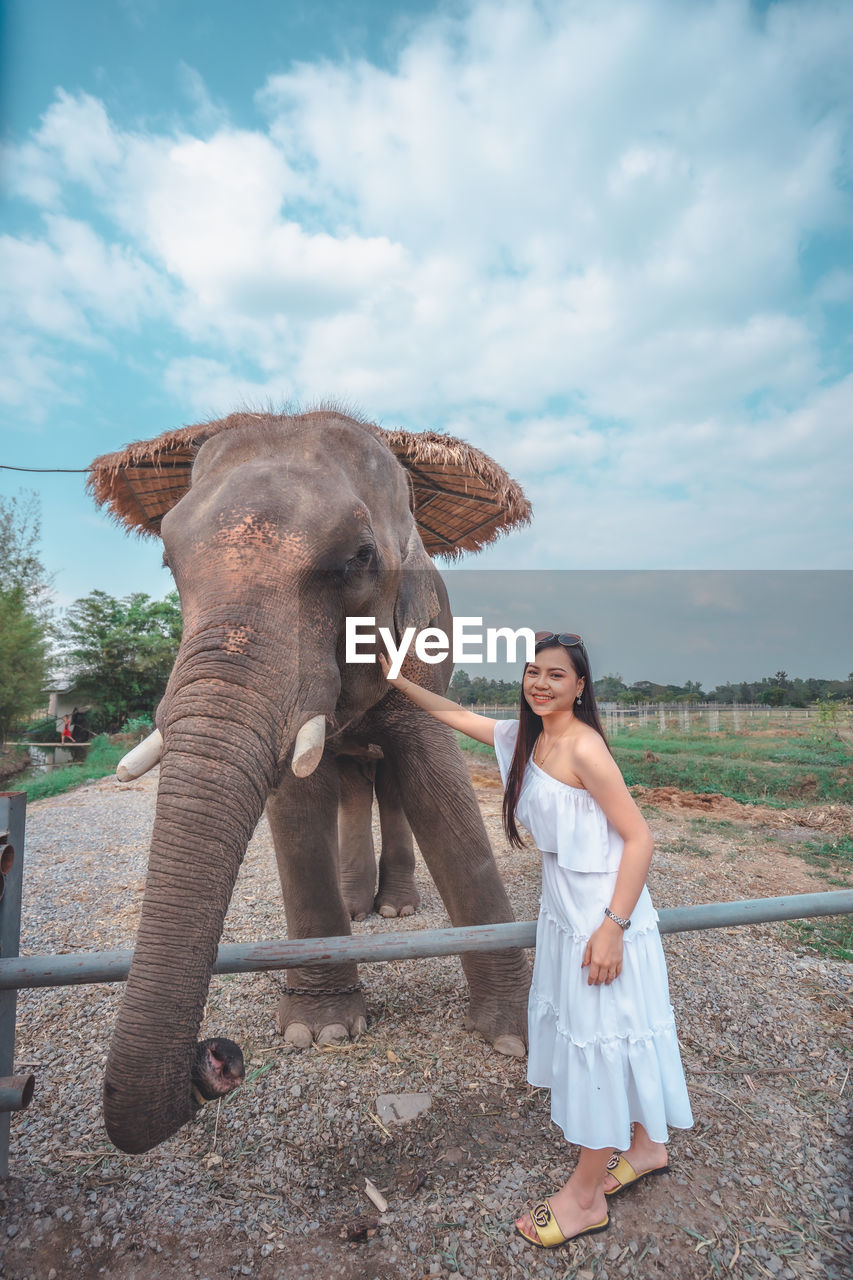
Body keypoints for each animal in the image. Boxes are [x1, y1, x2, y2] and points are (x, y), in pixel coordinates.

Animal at [92, 412, 532, 1162]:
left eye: (360, 557)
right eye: (168, 564)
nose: (218, 1060)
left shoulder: (419, 648)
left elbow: (437, 783)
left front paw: (517, 1041)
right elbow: (295, 804)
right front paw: (319, 1031)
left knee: (388, 785)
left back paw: (393, 910)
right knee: (352, 782)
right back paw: (360, 908)